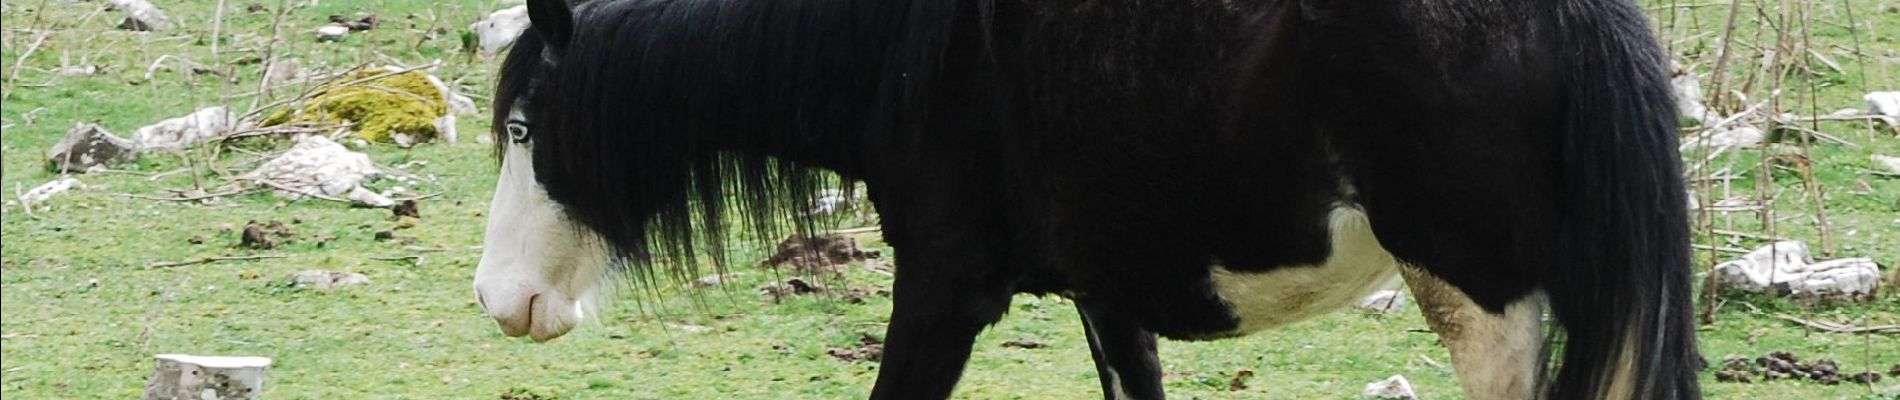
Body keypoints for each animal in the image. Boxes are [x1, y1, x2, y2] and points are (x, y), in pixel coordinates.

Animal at [467, 0, 1702, 396]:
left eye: (526, 131)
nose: (496, 300)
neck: (915, 44)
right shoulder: (1108, 297)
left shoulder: (943, 292)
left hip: (1483, 304)